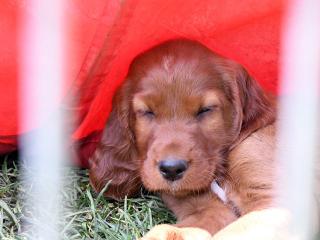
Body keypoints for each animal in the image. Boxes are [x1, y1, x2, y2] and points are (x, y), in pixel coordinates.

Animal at [89, 39, 278, 238]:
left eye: (205, 110)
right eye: (147, 112)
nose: (171, 169)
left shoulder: (269, 198)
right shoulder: (207, 209)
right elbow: (174, 229)